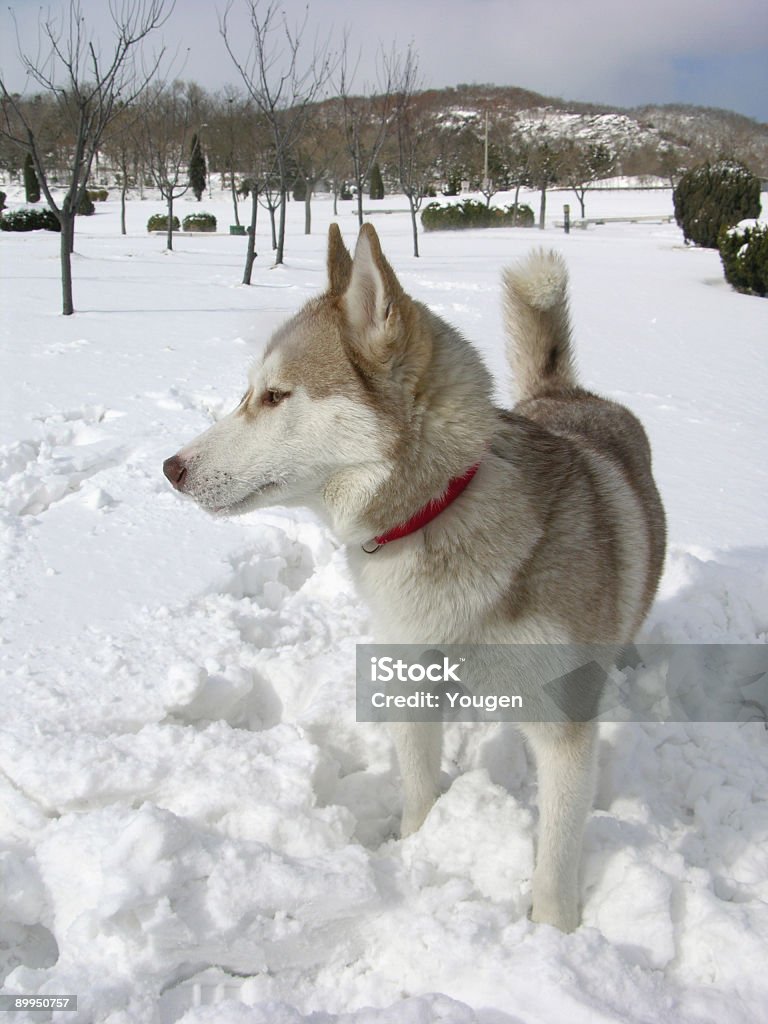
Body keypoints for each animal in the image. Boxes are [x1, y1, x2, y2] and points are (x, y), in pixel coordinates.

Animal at [165, 224, 663, 929]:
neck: (439, 509)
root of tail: (567, 395)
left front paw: (555, 931)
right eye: (248, 392)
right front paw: (415, 850)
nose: (170, 468)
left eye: (275, 396)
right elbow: (420, 787)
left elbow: (557, 851)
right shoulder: (411, 681)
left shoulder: (562, 727)